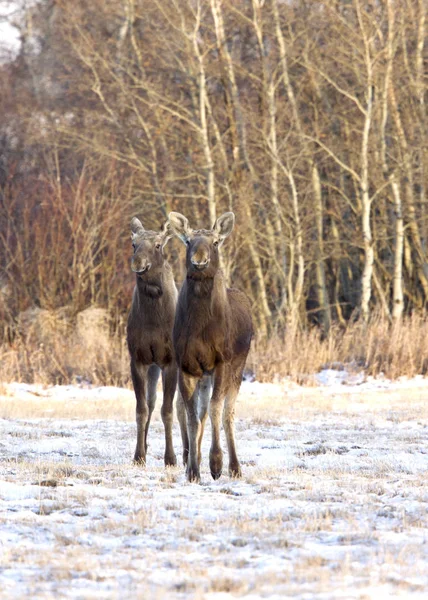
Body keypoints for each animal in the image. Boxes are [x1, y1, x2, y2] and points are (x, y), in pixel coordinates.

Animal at [168, 211, 254, 482]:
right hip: (204, 375)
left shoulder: (222, 361)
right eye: (187, 241)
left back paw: (235, 467)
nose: (199, 261)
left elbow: (217, 409)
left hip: (238, 368)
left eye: (215, 242)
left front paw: (216, 463)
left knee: (228, 413)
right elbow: (192, 416)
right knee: (201, 412)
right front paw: (193, 470)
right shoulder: (186, 366)